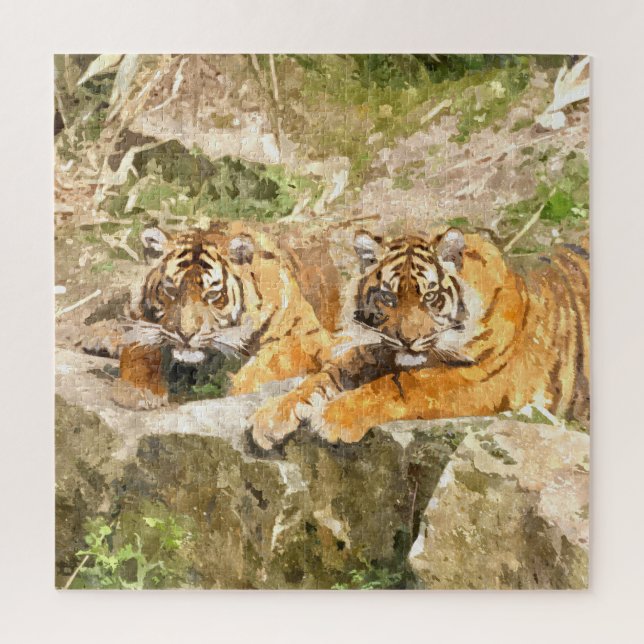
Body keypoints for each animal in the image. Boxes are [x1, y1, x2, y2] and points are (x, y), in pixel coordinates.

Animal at [113, 222, 340, 409]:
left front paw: (238, 388)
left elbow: (273, 359)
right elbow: (140, 351)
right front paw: (138, 392)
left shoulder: (307, 335)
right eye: (170, 290)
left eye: (212, 294)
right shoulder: (136, 318)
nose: (186, 334)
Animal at [249, 226, 589, 449]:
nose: (407, 340)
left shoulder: (482, 377)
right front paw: (271, 416)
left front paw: (334, 417)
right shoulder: (375, 349)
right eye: (387, 297)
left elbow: (401, 385)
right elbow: (323, 377)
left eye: (430, 296)